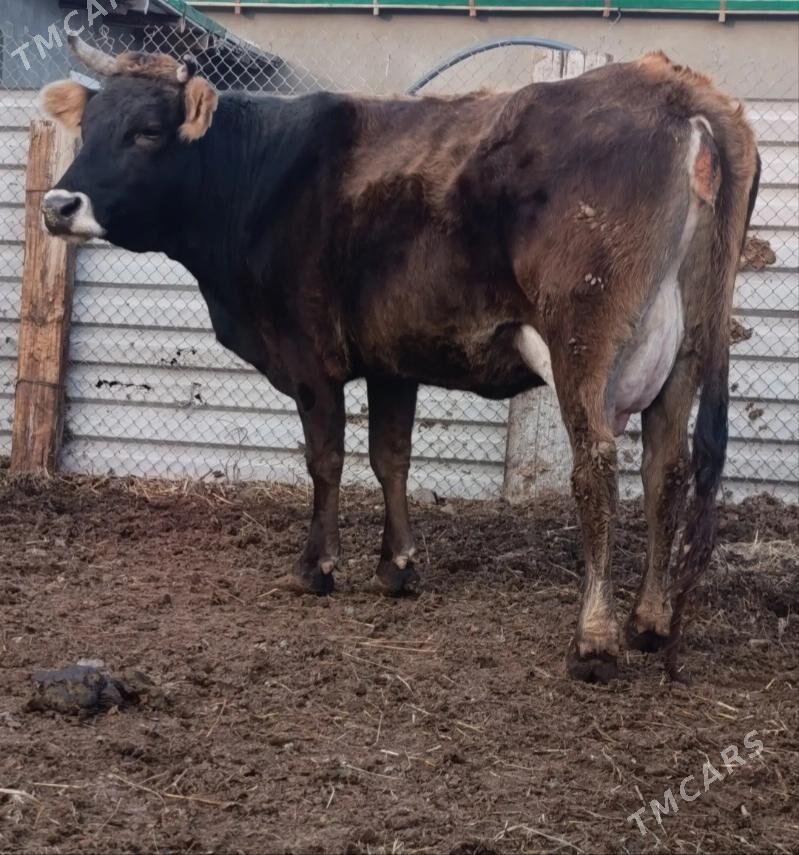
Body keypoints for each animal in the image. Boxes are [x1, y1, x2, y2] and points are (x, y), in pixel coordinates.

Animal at [40, 36, 759, 682]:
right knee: (666, 469)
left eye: (147, 132)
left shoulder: (311, 357)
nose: (57, 204)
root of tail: (674, 87)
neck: (264, 174)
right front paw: (397, 567)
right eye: (89, 129)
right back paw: (649, 620)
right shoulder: (393, 359)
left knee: (597, 471)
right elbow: (391, 458)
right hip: (684, 349)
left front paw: (317, 567)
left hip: (586, 339)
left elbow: (326, 459)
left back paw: (595, 640)